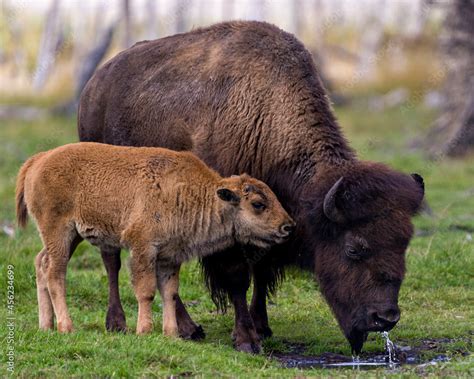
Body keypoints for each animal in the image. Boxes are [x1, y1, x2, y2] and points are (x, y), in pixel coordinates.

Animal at [15, 144, 292, 336]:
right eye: (258, 204)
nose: (288, 226)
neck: (192, 192)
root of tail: (39, 159)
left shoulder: (170, 257)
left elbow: (170, 292)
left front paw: (171, 334)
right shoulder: (143, 248)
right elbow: (147, 291)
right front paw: (144, 331)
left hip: (71, 237)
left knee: (41, 263)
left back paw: (46, 326)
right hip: (59, 232)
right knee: (55, 273)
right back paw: (66, 327)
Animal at [78, 20, 426, 354]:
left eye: (403, 244)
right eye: (353, 248)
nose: (385, 317)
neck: (266, 116)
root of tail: (93, 86)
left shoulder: (273, 224)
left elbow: (262, 273)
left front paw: (262, 327)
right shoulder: (230, 227)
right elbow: (238, 277)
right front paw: (246, 339)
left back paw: (187, 328)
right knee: (112, 260)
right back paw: (118, 323)